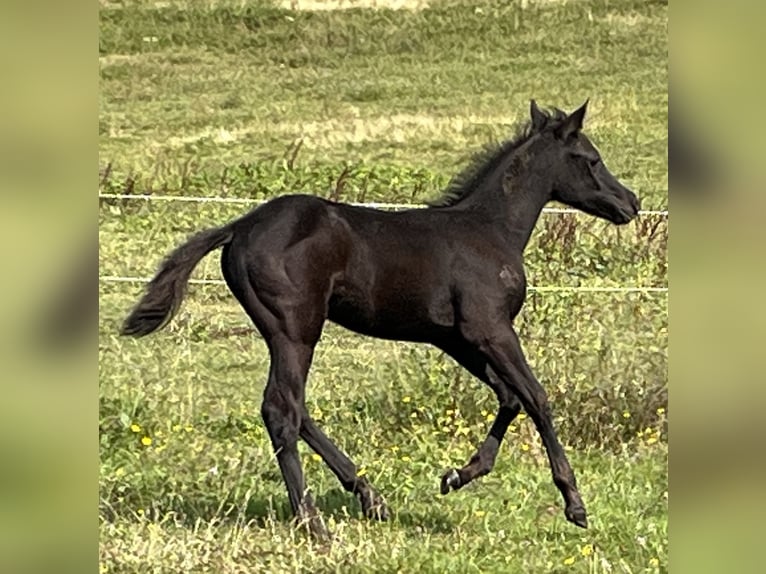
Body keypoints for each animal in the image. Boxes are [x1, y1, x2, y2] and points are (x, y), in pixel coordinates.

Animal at [121, 100, 640, 540]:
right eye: (591, 159)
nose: (630, 203)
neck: (490, 231)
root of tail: (240, 226)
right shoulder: (491, 329)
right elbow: (537, 398)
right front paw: (575, 504)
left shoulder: (457, 339)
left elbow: (509, 397)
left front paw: (457, 475)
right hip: (296, 329)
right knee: (281, 409)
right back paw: (314, 522)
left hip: (287, 332)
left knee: (297, 409)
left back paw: (371, 497)